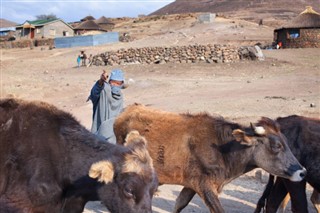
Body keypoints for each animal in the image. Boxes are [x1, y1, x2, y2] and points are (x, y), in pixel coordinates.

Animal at [114, 104, 306, 212]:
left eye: (286, 142)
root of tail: (129, 109)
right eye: (276, 146)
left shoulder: (191, 185)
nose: (302, 172)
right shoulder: (205, 186)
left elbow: (179, 204)